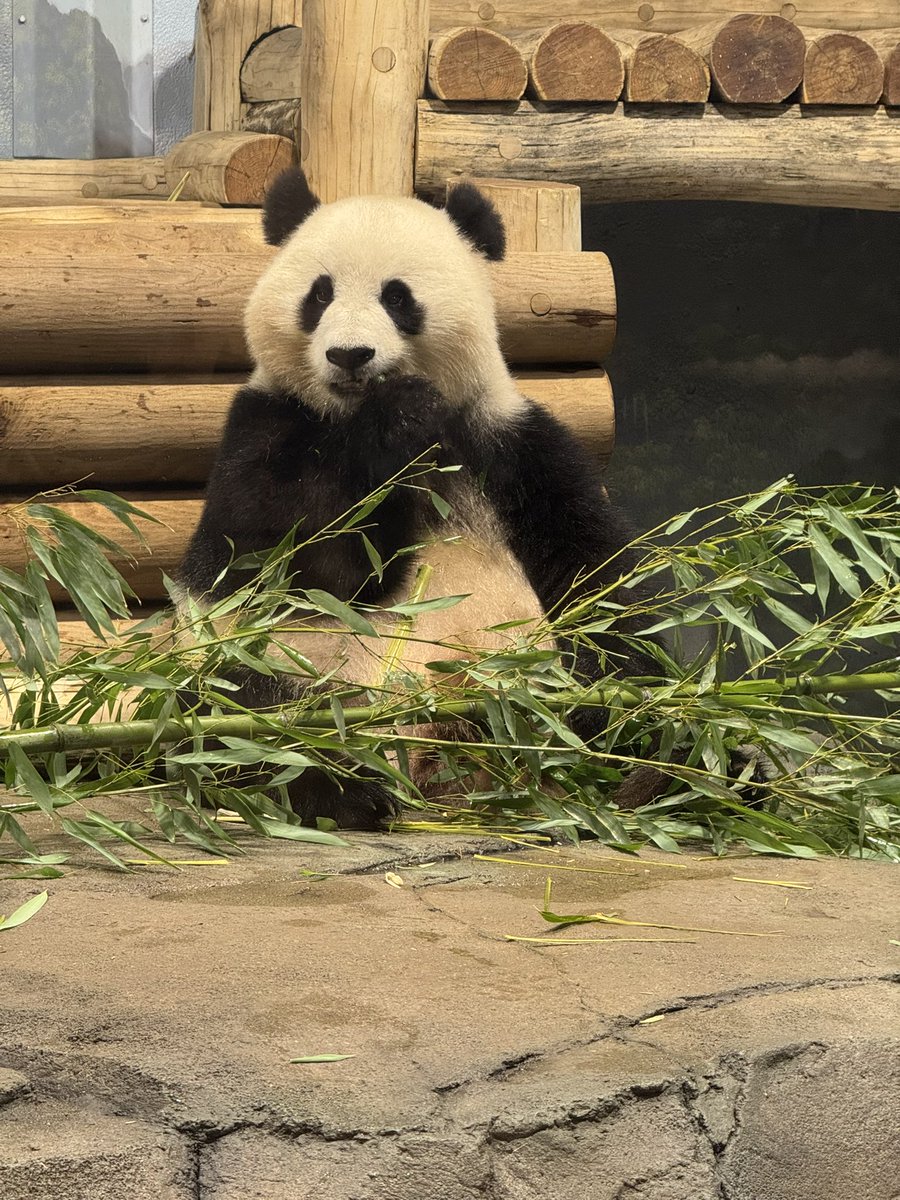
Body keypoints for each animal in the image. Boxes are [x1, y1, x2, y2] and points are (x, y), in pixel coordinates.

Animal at [175, 168, 658, 829]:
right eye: (319, 294)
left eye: (397, 298)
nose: (349, 355)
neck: (350, 418)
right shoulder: (266, 425)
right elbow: (283, 559)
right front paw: (395, 422)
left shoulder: (507, 446)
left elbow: (594, 579)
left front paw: (610, 699)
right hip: (279, 673)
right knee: (243, 717)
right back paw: (346, 788)